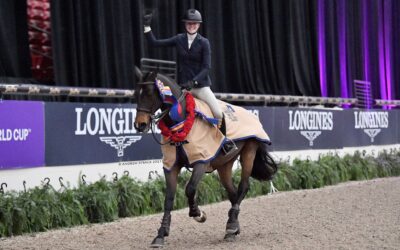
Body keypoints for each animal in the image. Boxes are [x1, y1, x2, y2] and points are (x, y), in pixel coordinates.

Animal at [133, 68, 276, 248]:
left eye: (150, 93)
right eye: (136, 94)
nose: (140, 125)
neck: (180, 123)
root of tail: (251, 115)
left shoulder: (201, 161)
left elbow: (190, 189)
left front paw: (198, 213)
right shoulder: (171, 165)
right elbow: (169, 199)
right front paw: (160, 235)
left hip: (249, 152)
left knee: (243, 187)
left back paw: (231, 226)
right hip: (224, 165)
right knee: (233, 193)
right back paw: (233, 227)